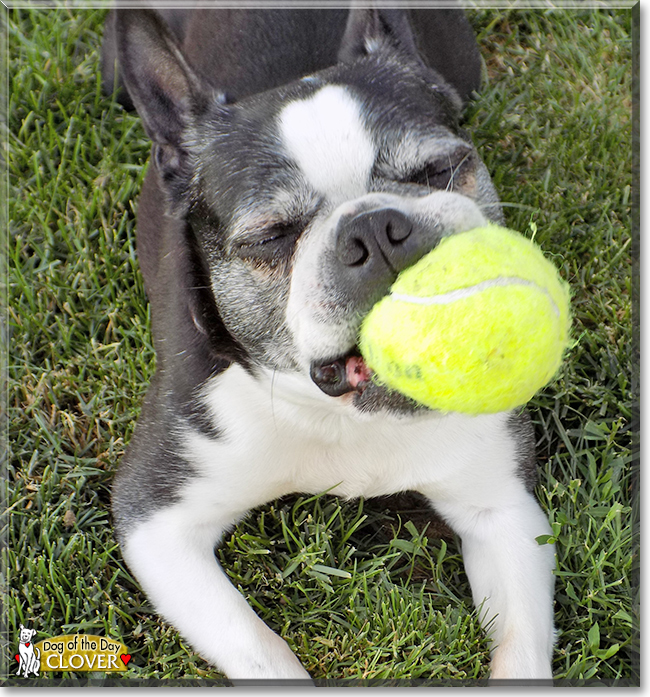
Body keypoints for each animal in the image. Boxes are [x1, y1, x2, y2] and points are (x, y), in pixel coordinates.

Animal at [101, 5, 552, 680]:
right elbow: (259, 649)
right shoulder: (157, 522)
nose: (377, 227)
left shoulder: (501, 508)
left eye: (437, 171)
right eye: (270, 236)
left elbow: (521, 648)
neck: (346, 418)